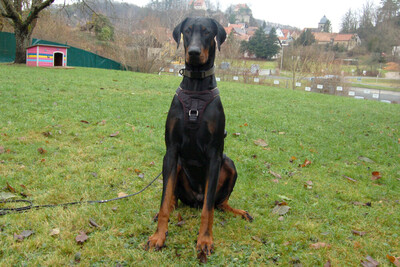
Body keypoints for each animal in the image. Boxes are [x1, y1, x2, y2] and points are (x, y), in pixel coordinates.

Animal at [147, 17, 253, 260]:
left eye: (207, 32)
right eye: (187, 31)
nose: (194, 52)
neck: (195, 89)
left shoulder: (215, 155)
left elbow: (208, 210)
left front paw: (204, 241)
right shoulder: (171, 151)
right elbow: (164, 201)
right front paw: (159, 236)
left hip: (229, 163)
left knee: (219, 203)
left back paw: (239, 211)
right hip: (177, 166)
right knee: (173, 200)